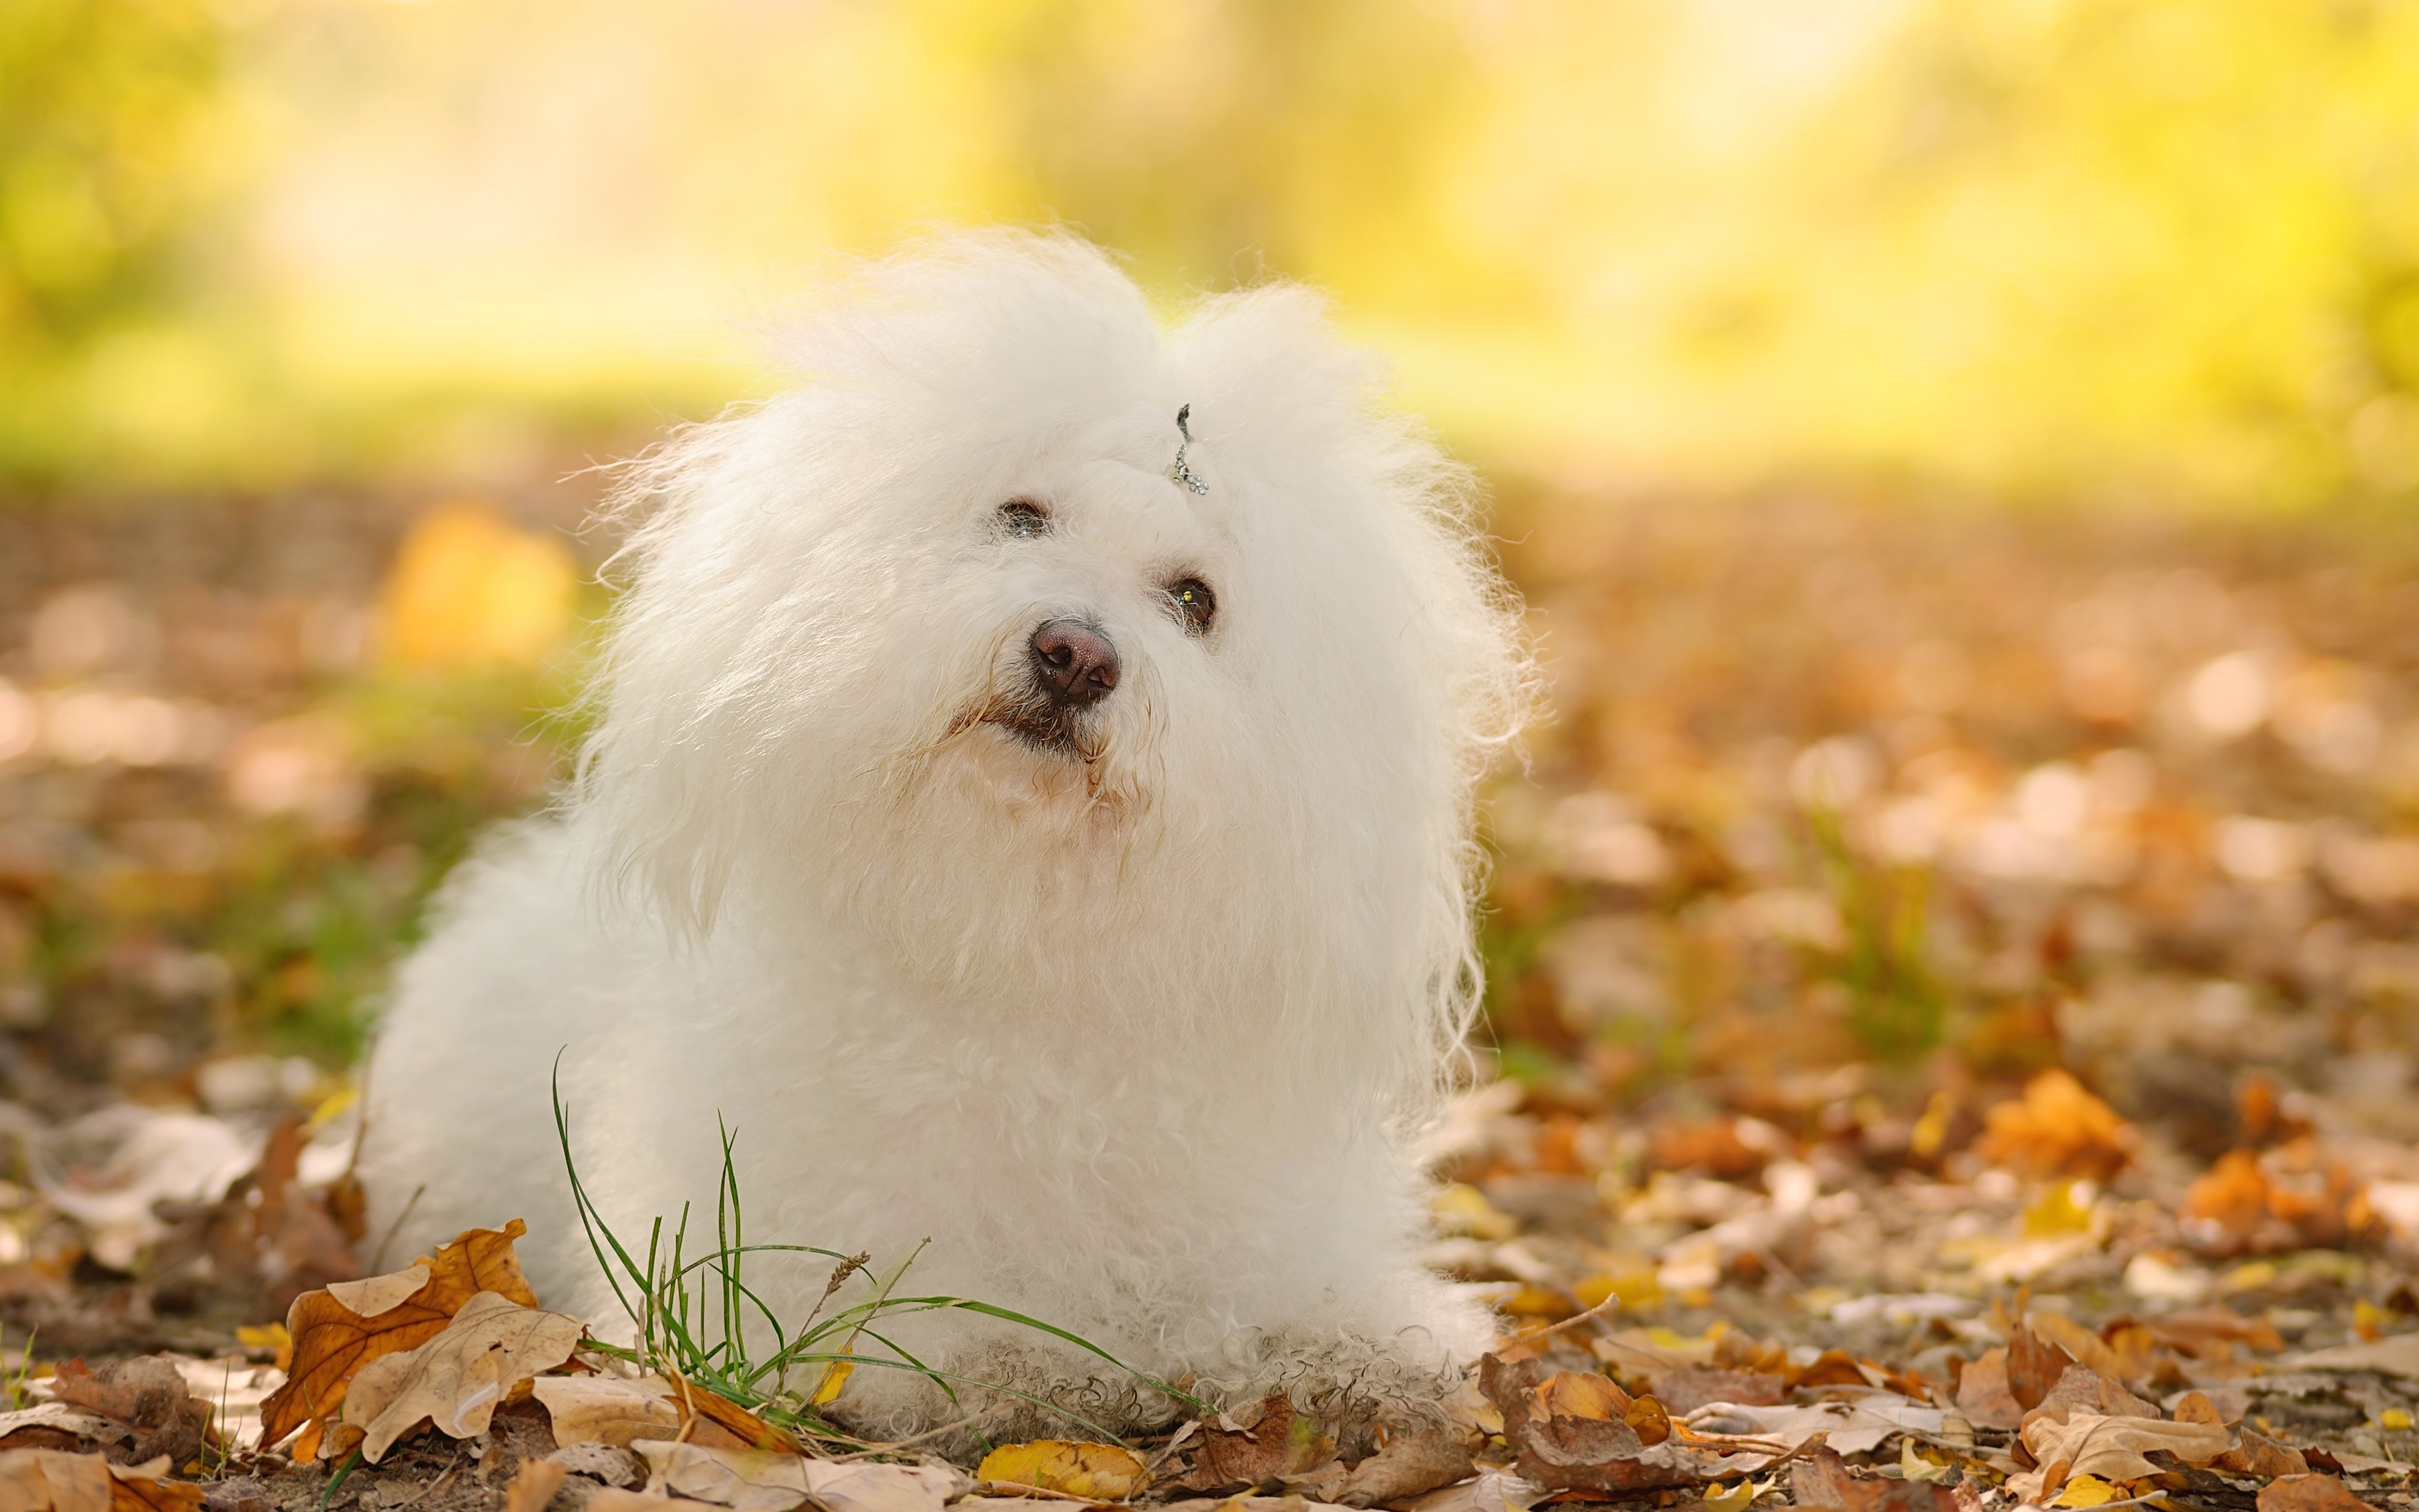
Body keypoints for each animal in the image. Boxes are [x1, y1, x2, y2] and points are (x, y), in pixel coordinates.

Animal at [358, 235, 1528, 1442]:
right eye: (1020, 517)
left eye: (1194, 600)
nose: (1075, 654)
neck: (1003, 946)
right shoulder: (780, 1280)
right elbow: (945, 1340)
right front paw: (1047, 1367)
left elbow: (1315, 1316)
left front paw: (1369, 1359)